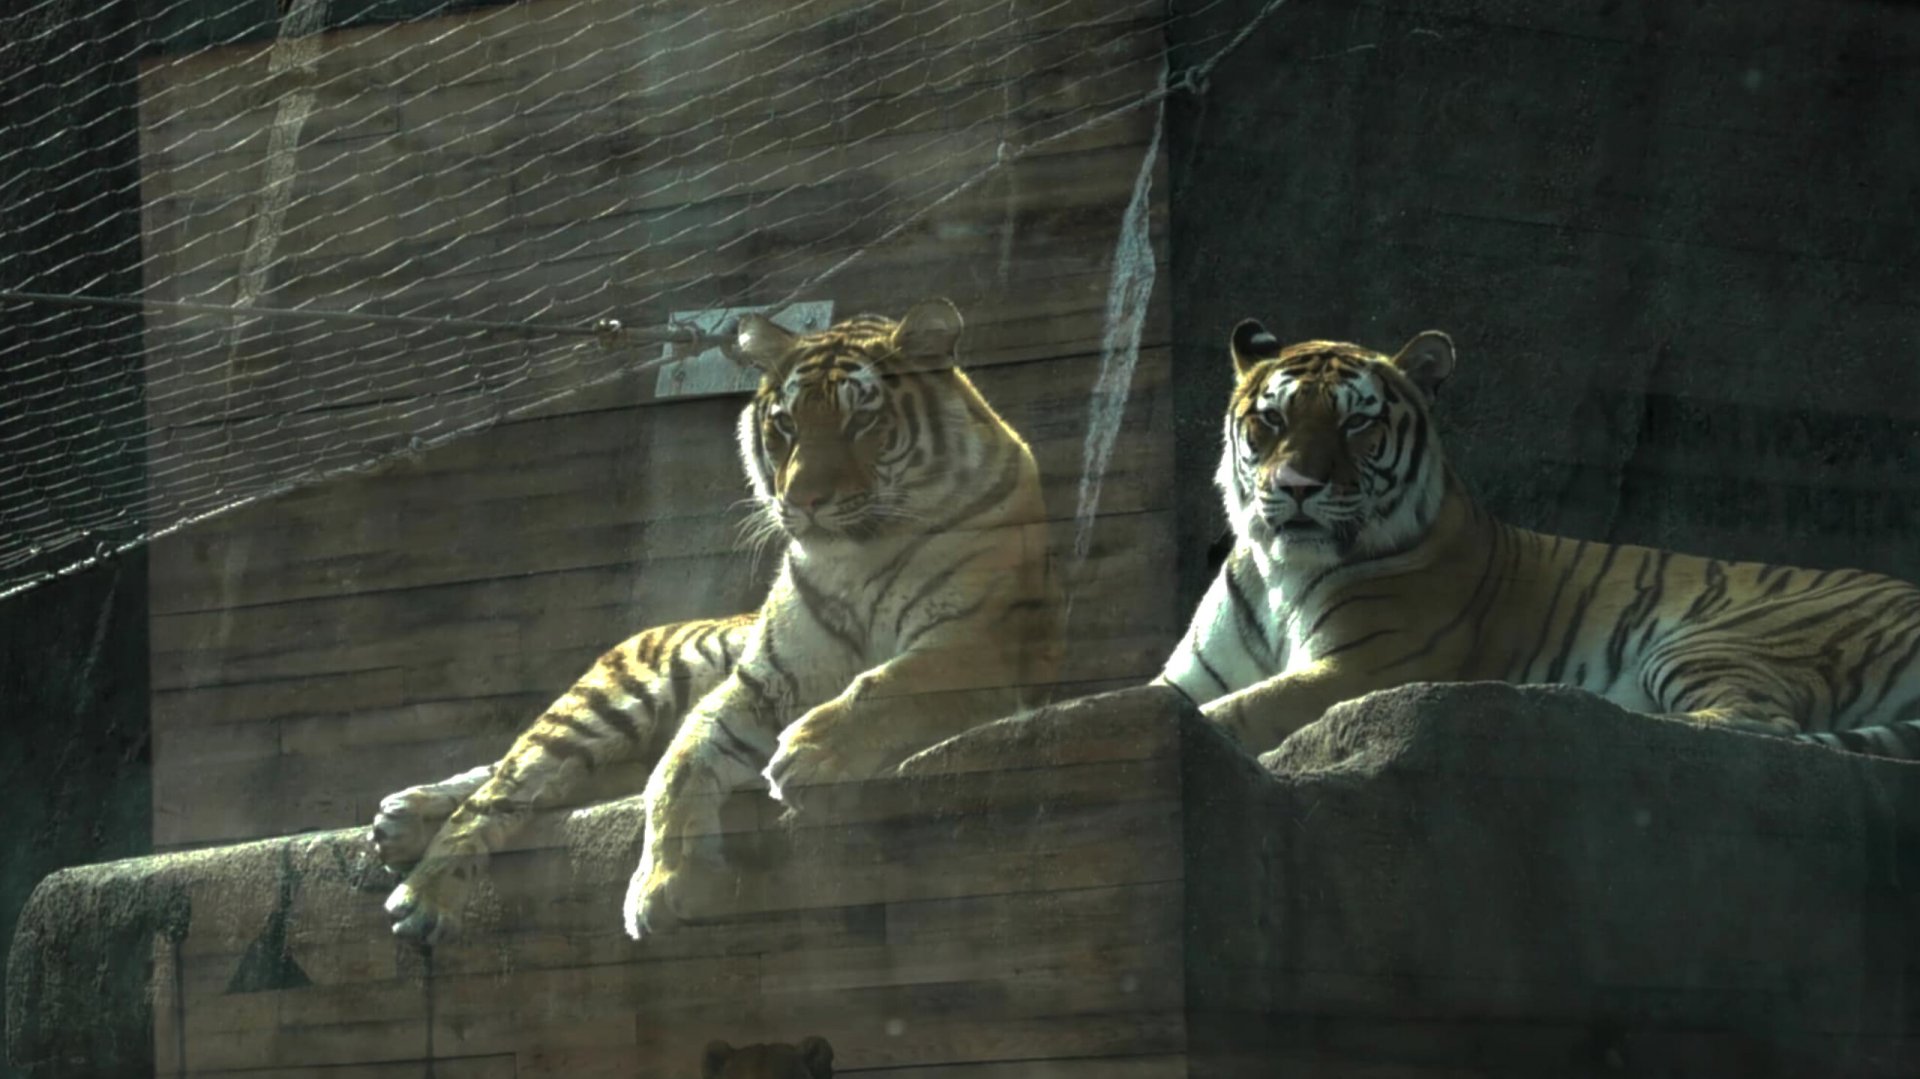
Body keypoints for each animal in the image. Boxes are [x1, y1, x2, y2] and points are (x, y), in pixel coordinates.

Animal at [373, 299, 1062, 943]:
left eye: (861, 420)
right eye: (785, 425)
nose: (803, 500)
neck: (858, 555)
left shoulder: (976, 642)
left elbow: (885, 683)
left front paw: (808, 753)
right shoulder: (757, 684)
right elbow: (676, 771)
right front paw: (661, 888)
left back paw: (401, 824)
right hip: (612, 701)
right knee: (506, 782)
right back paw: (418, 879)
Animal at [1158, 318, 1920, 760]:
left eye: (1355, 424)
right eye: (1273, 420)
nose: (1296, 486)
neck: (1277, 569)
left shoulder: (1363, 668)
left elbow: (1239, 711)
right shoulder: (1190, 673)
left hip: (1708, 642)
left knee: (1753, 728)